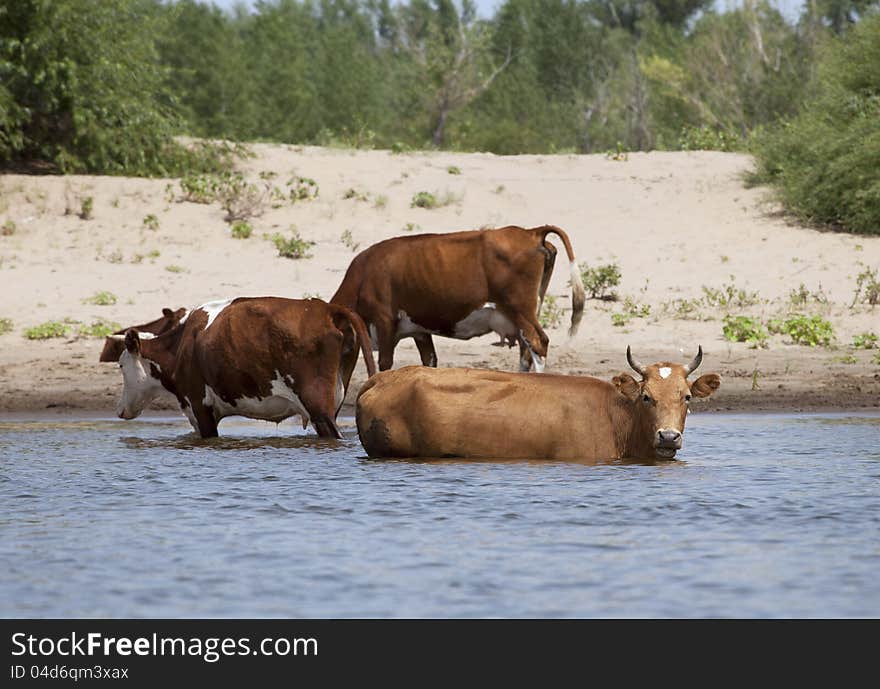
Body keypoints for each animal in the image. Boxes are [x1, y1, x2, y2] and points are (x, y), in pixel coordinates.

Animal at [115, 294, 376, 436]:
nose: (119, 411)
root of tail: (326, 309)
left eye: (120, 365)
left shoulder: (200, 407)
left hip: (319, 407)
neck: (181, 344)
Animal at [330, 224, 584, 374]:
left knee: (538, 343)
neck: (365, 273)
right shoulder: (420, 330)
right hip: (526, 313)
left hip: (520, 309)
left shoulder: (384, 320)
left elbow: (384, 364)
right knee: (526, 351)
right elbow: (430, 362)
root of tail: (531, 232)